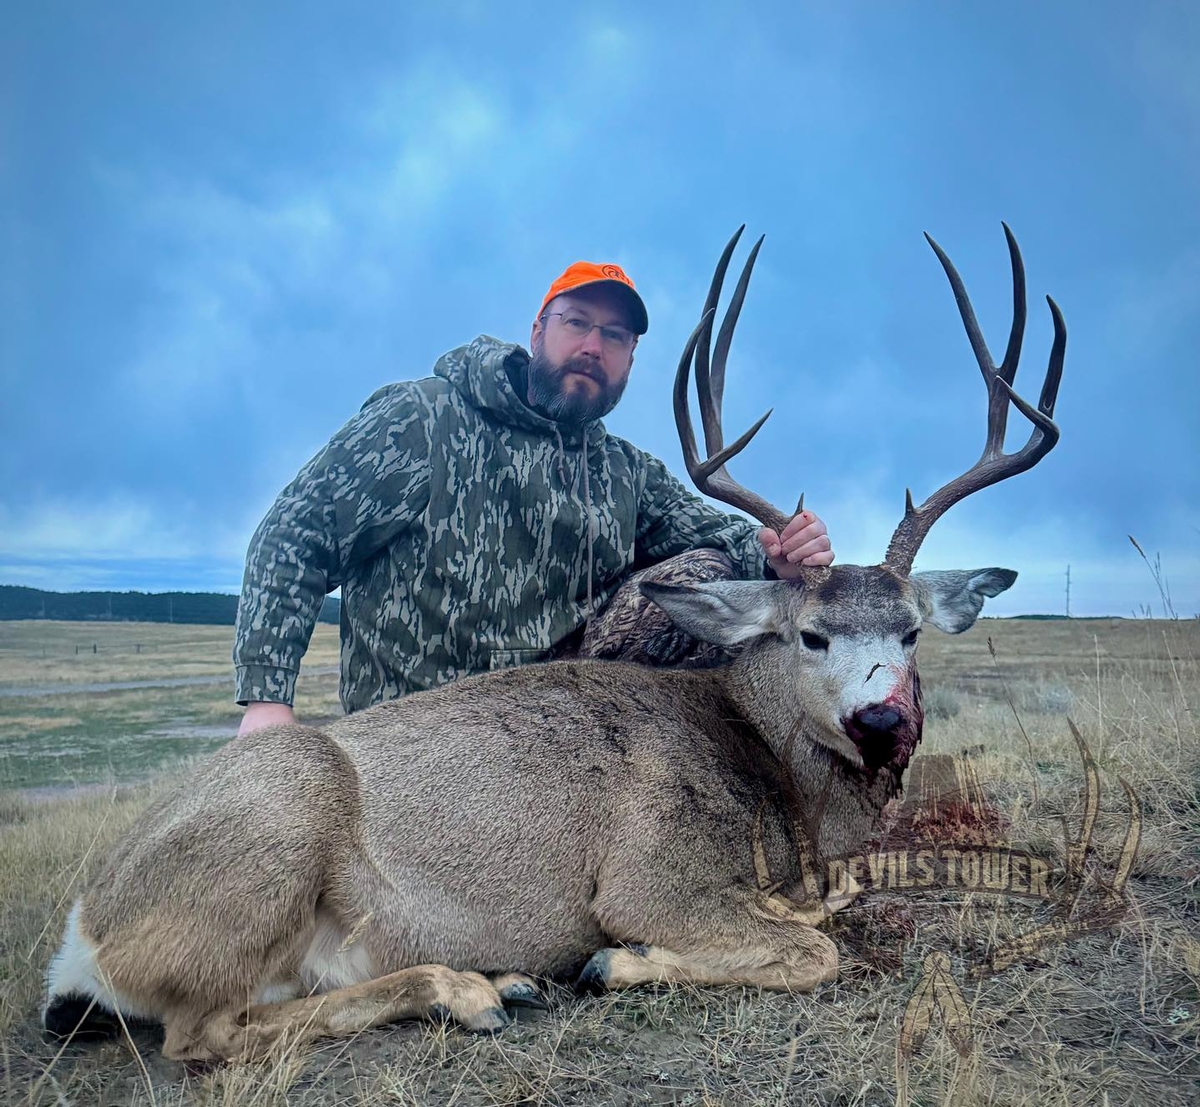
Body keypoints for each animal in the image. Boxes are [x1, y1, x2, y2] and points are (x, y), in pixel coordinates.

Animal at [42, 225, 1066, 1062]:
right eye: (811, 634)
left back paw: (497, 983)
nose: (883, 719)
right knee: (202, 1034)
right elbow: (811, 948)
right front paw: (618, 963)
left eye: (910, 631)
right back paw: (470, 988)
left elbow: (824, 913)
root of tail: (86, 931)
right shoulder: (653, 873)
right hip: (275, 837)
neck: (770, 769)